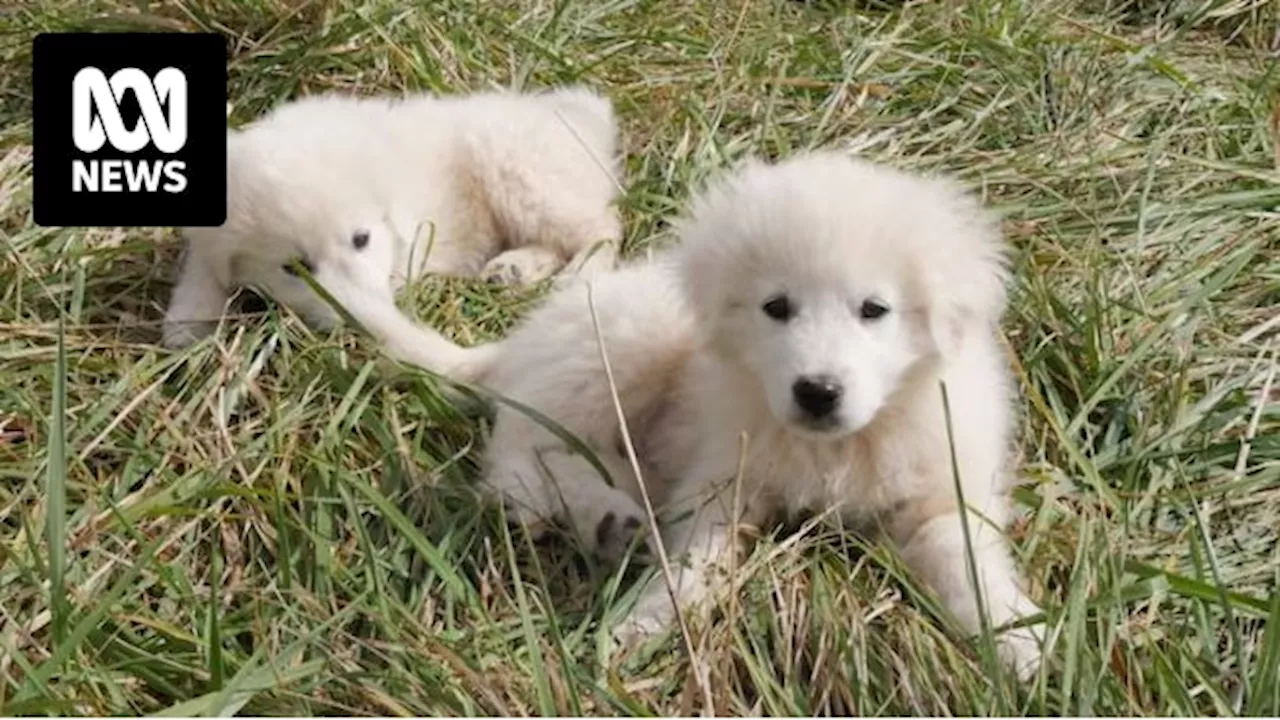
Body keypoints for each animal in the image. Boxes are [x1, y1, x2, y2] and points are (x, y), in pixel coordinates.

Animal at [162, 87, 622, 371]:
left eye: (361, 240)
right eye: (293, 269)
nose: (356, 320)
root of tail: (584, 118)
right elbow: (203, 260)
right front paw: (188, 320)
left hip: (515, 166)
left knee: (603, 227)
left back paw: (577, 276)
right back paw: (514, 269)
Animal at [345, 148, 1044, 676]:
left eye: (874, 309)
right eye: (776, 307)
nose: (817, 392)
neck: (837, 448)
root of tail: (518, 343)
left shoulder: (943, 497)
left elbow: (971, 569)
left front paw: (1020, 644)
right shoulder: (720, 481)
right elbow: (693, 566)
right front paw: (642, 625)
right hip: (618, 348)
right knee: (518, 457)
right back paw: (604, 515)